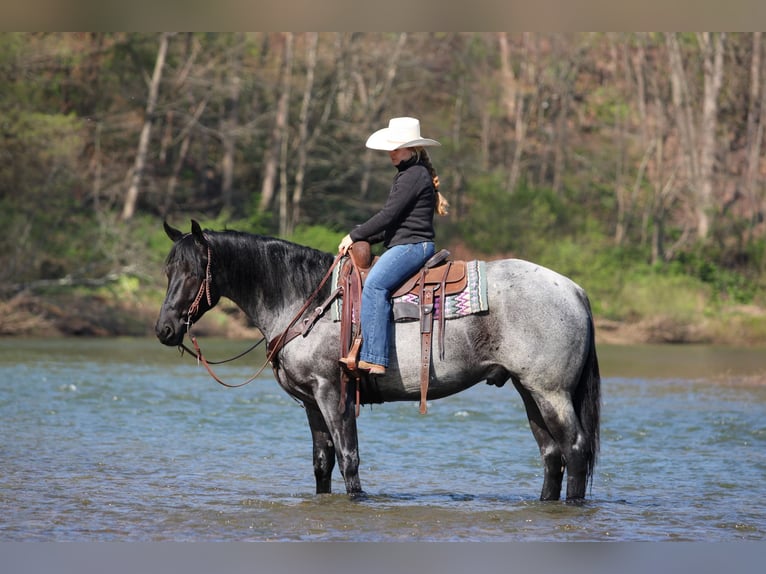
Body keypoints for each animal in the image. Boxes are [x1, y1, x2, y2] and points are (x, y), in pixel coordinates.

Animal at [155, 220, 601, 501]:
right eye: (168, 270)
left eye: (194, 271)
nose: (164, 329)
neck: (306, 302)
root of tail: (575, 290)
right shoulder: (311, 402)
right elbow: (322, 463)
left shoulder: (333, 393)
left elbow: (349, 460)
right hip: (528, 391)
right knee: (552, 456)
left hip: (550, 392)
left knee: (575, 449)